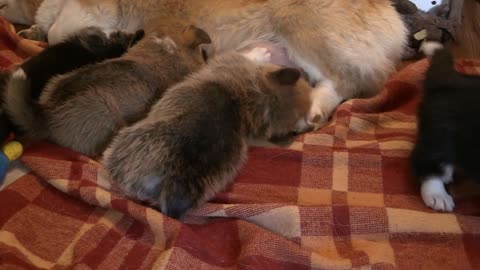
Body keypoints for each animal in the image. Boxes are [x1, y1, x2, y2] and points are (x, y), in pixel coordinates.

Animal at [1, 0, 406, 129]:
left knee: (346, 82)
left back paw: (317, 109)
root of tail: (392, 16)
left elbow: (58, 30)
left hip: (300, 26)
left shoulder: (89, 10)